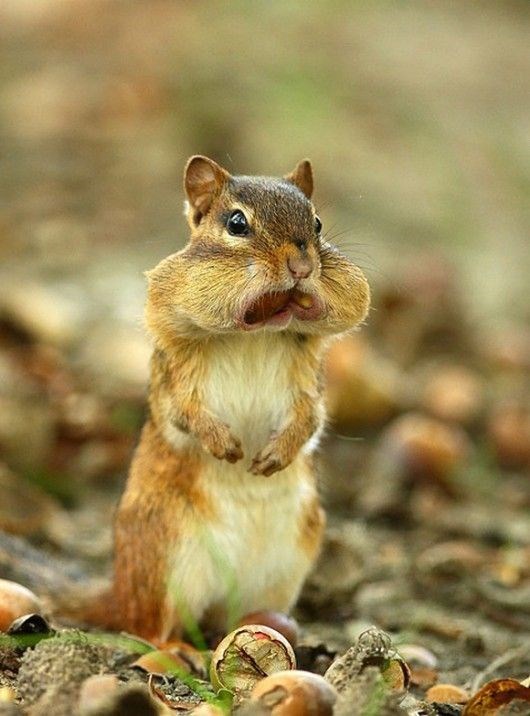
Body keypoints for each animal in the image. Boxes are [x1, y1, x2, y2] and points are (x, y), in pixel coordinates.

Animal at [59, 156, 369, 644]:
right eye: (236, 224)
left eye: (317, 223)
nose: (302, 266)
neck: (255, 338)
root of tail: (118, 595)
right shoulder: (177, 379)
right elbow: (185, 413)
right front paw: (223, 444)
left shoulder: (308, 383)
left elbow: (311, 418)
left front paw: (275, 455)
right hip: (166, 563)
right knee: (150, 629)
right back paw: (177, 648)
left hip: (282, 571)